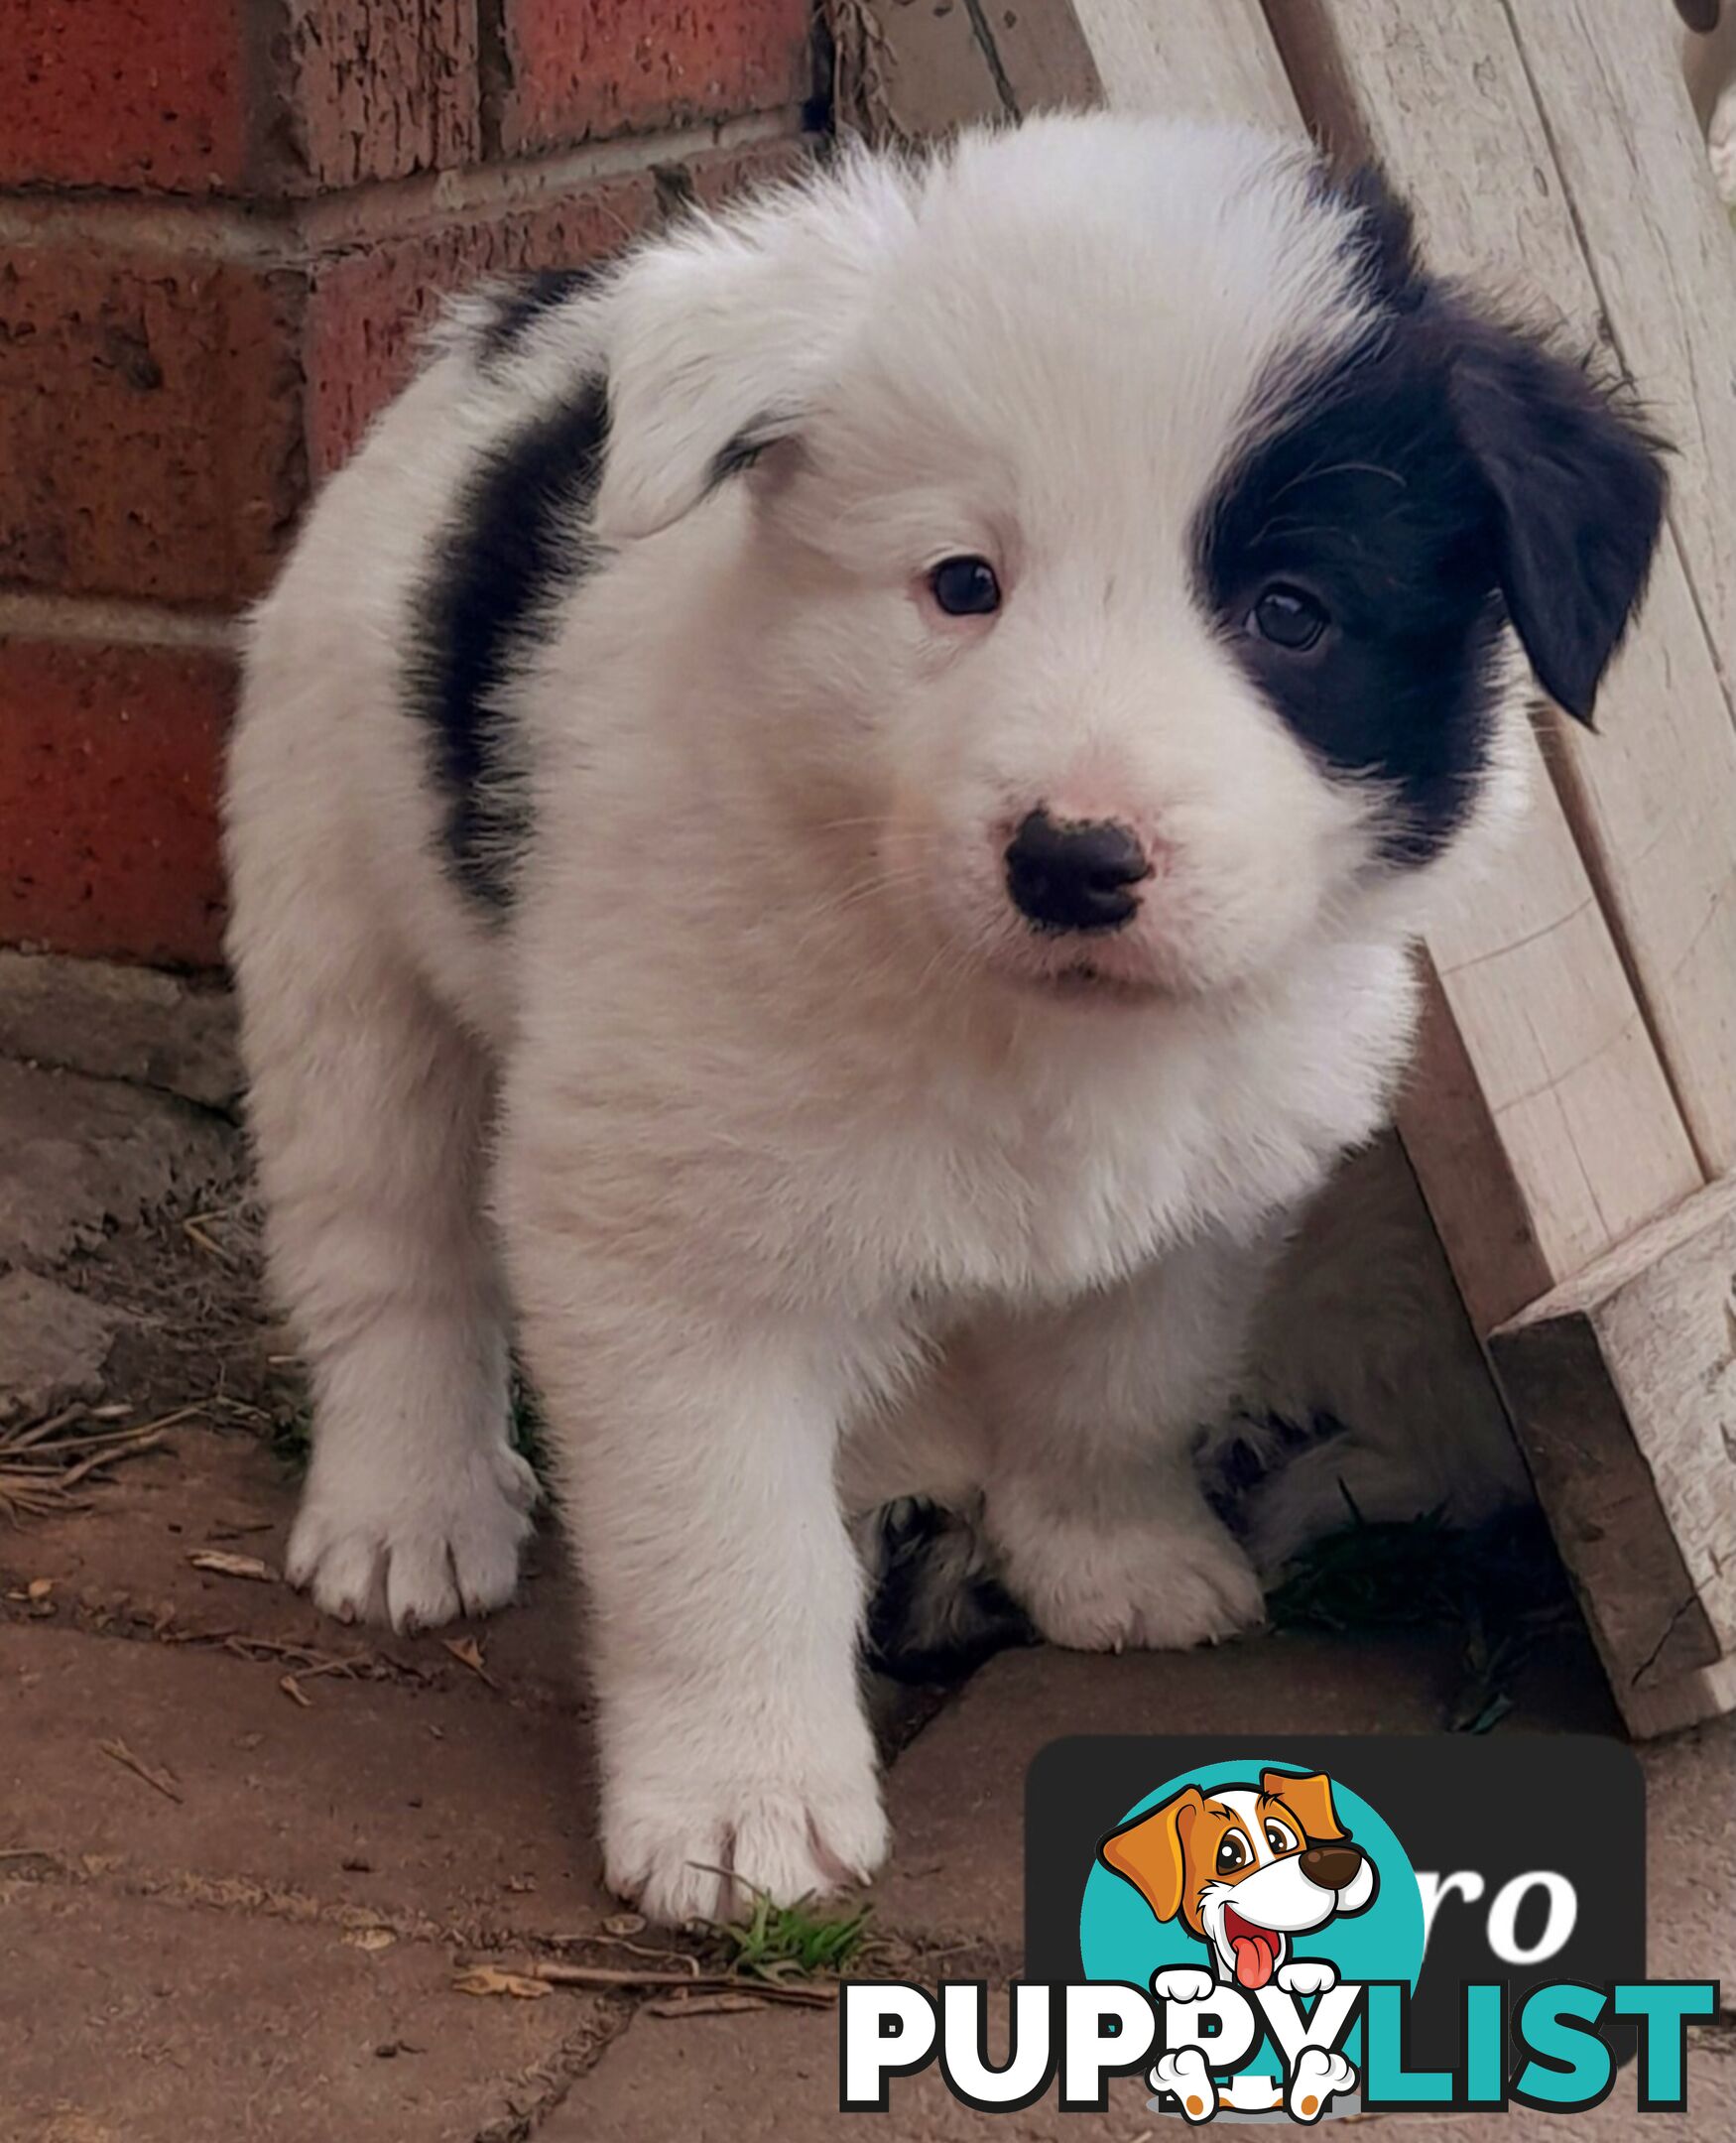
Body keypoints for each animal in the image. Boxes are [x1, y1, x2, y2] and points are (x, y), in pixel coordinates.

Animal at [222, 112, 1654, 1929]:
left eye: (1292, 611)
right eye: (961, 585)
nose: (1073, 860)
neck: (1015, 1015)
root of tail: (524, 315)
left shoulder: (1214, 1183)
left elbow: (1121, 1380)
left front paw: (1115, 1558)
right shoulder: (664, 1223)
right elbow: (719, 1530)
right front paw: (742, 1805)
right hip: (340, 914)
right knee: (386, 1244)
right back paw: (408, 1509)